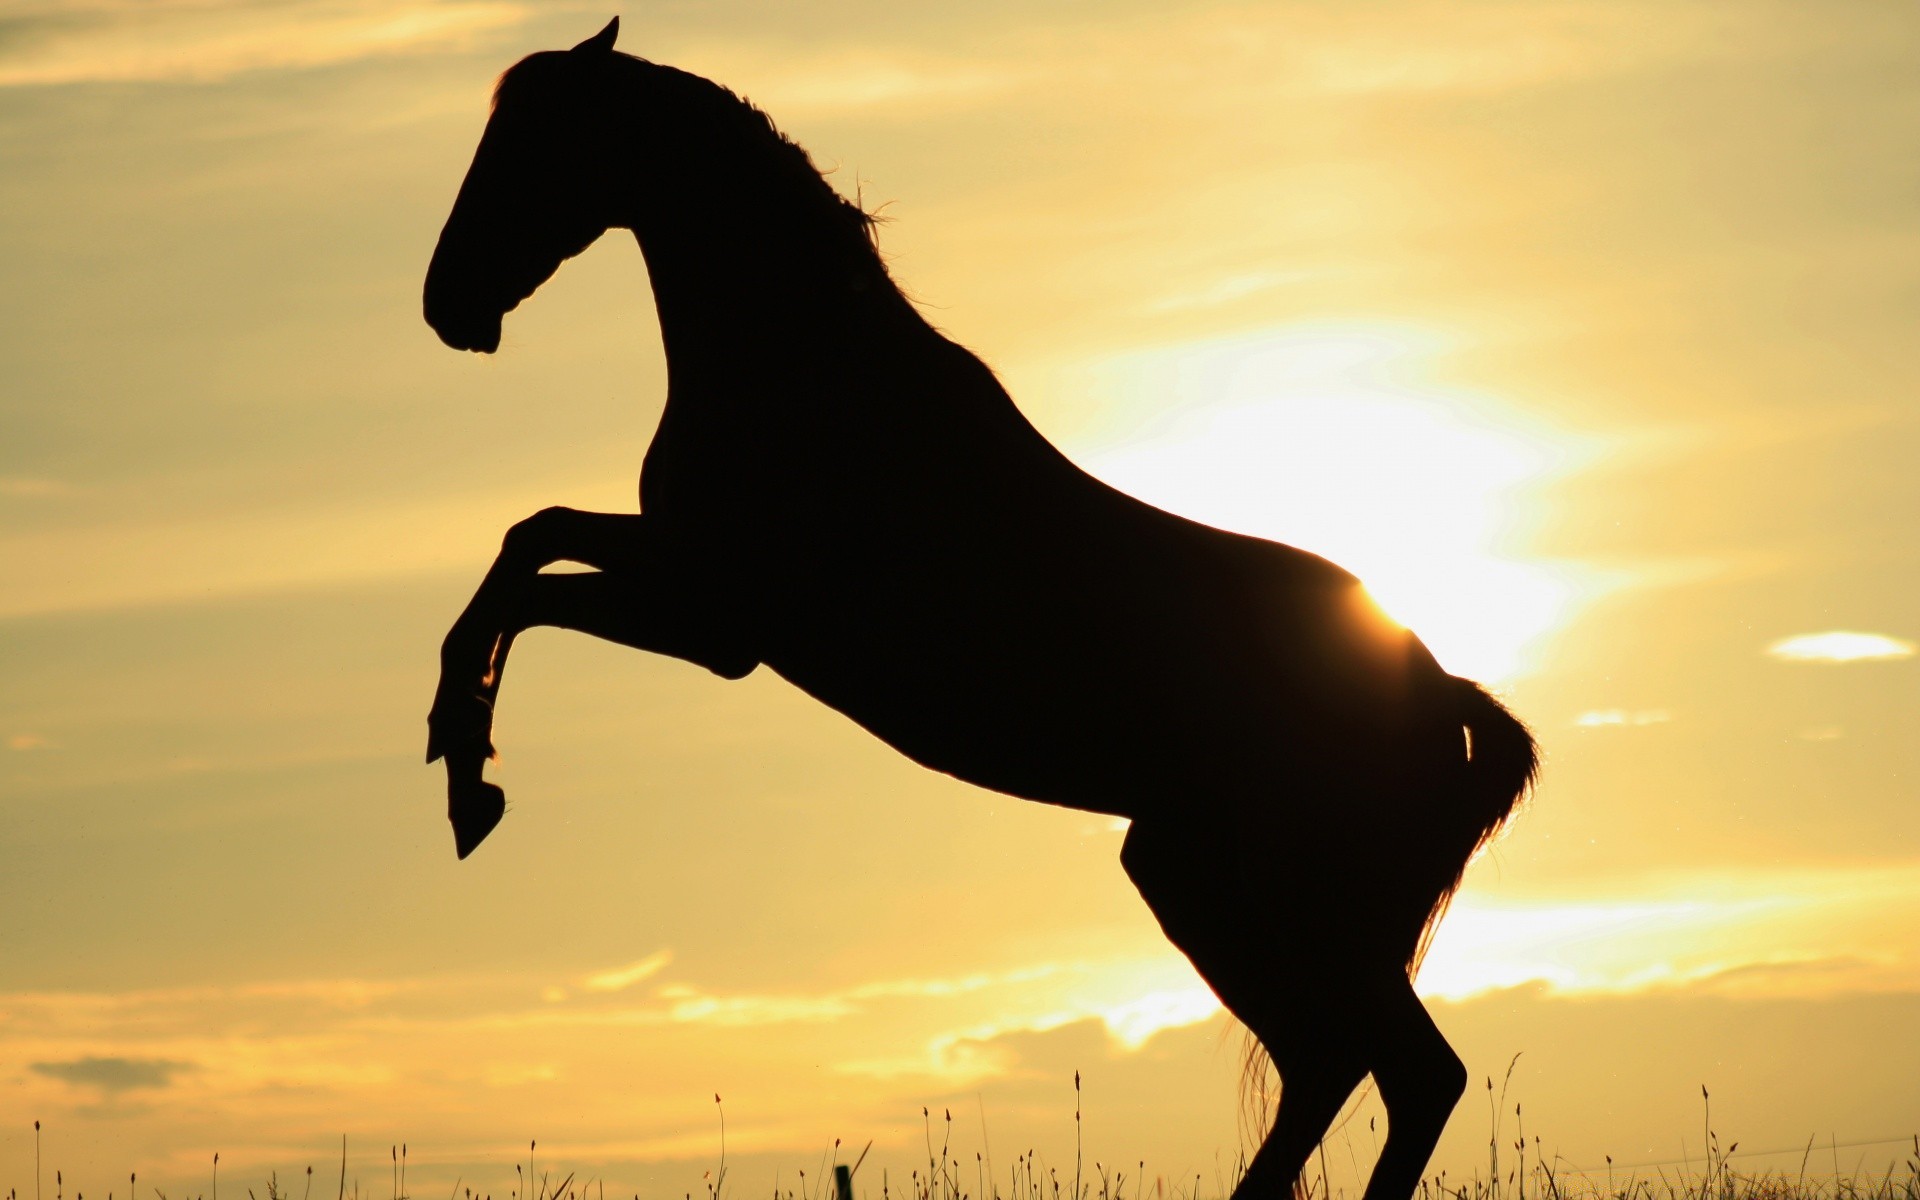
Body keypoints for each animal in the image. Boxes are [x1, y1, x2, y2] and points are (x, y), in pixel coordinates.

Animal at [424, 21, 1543, 1198]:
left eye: (530, 144)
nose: (446, 304)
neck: (809, 369)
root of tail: (1445, 699)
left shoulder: (719, 619)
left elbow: (527, 577)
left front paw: (467, 773)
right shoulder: (688, 581)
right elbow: (528, 544)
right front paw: (466, 774)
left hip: (1274, 898)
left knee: (1397, 1070)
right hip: (1212, 884)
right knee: (1340, 1064)